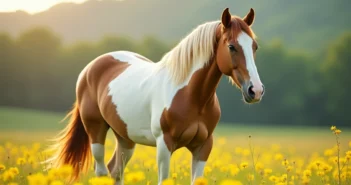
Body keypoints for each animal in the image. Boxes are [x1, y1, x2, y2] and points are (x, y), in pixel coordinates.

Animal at [48, 7, 266, 185]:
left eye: (254, 47)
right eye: (231, 46)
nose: (255, 90)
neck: (191, 96)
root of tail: (90, 68)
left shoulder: (203, 146)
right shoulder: (164, 145)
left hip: (125, 138)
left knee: (115, 171)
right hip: (96, 130)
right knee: (101, 171)